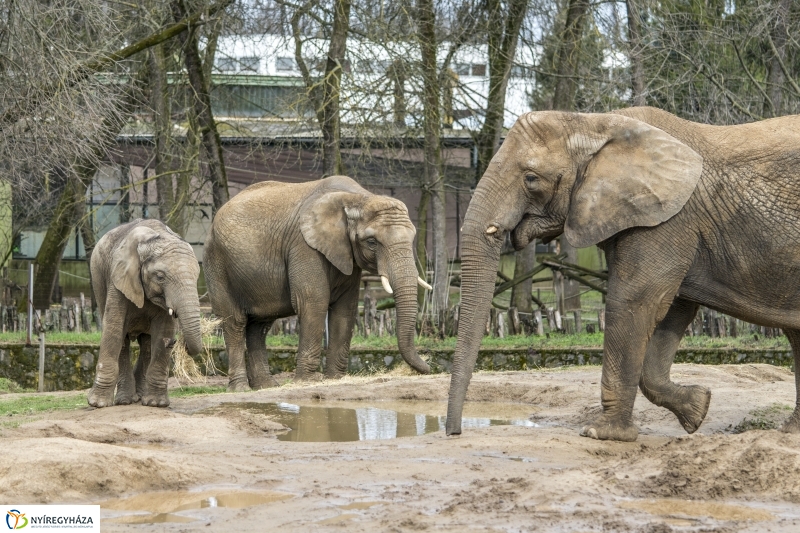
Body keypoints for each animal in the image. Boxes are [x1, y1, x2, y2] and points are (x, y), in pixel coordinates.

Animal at [87, 217, 203, 408]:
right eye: (160, 277)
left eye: (197, 276)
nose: (176, 342)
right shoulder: (118, 279)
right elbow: (113, 329)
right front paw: (98, 404)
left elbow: (163, 330)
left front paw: (156, 404)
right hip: (97, 279)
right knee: (124, 340)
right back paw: (126, 400)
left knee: (147, 344)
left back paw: (140, 397)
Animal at [205, 176, 432, 390]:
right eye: (372, 242)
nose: (429, 367)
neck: (358, 197)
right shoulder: (304, 246)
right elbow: (313, 302)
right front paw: (307, 381)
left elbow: (346, 308)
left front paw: (335, 379)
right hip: (217, 263)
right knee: (234, 322)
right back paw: (241, 388)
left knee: (259, 325)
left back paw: (266, 386)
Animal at [446, 107, 800, 440]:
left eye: (531, 178)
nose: (454, 432)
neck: (595, 123)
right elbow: (673, 310)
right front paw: (698, 409)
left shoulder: (667, 220)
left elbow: (633, 303)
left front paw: (601, 434)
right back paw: (789, 433)